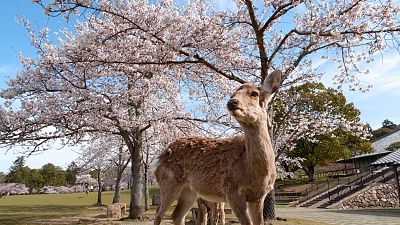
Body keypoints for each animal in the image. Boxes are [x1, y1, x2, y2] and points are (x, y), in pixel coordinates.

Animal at [153, 70, 282, 225]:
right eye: (232, 94)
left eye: (254, 93)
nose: (232, 102)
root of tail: (161, 156)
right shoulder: (231, 189)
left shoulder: (258, 196)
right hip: (168, 182)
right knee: (159, 213)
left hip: (190, 191)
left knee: (177, 215)